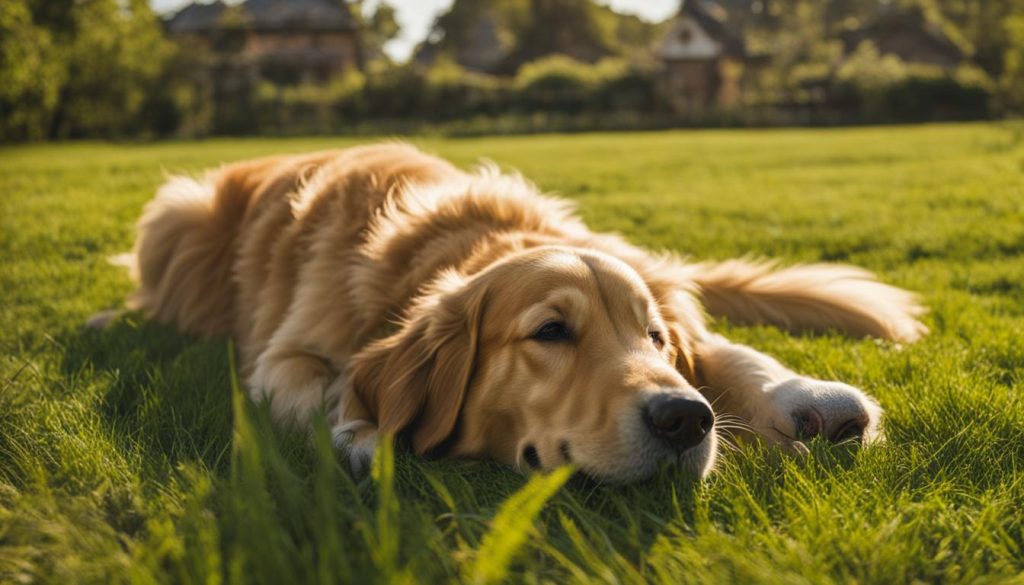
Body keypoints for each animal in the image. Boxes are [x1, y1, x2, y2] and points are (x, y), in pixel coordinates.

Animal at [97, 142, 929, 481]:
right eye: (550, 333)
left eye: (651, 337)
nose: (684, 420)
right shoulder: (286, 350)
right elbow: (323, 385)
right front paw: (361, 430)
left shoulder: (673, 312)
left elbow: (725, 351)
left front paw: (811, 400)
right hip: (174, 219)